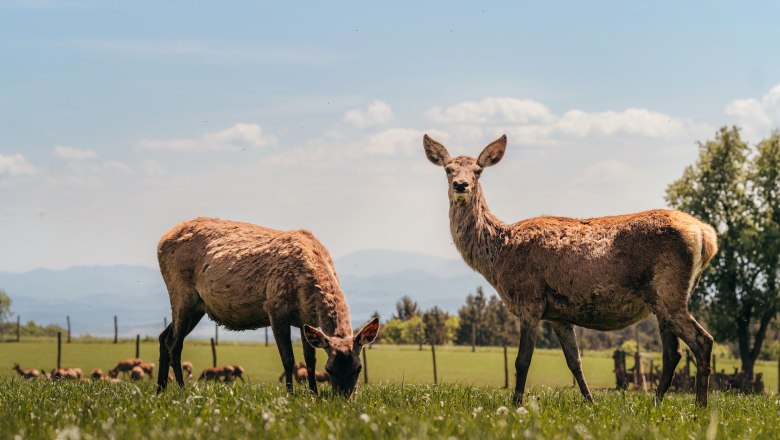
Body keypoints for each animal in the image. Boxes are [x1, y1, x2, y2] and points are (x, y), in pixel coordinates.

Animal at [154, 217, 380, 398]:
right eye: (330, 369)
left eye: (358, 368)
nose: (345, 398)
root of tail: (161, 241)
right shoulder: (276, 306)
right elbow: (288, 358)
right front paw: (291, 395)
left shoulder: (306, 319)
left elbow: (310, 359)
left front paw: (313, 393)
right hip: (181, 292)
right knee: (175, 343)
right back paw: (181, 390)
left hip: (198, 307)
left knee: (164, 336)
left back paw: (160, 389)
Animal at [424, 133, 716, 406]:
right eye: (448, 169)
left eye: (478, 170)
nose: (461, 185)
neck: (499, 256)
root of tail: (706, 234)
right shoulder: (559, 314)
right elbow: (574, 361)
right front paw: (591, 402)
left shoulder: (530, 300)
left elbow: (522, 361)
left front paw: (516, 403)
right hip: (663, 299)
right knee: (673, 352)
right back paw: (658, 402)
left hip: (669, 292)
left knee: (702, 341)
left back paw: (699, 406)